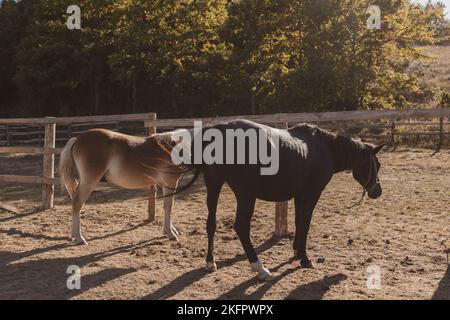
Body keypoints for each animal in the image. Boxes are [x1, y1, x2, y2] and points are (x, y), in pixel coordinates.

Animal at [172, 120, 384, 280]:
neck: (325, 148)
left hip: (214, 185)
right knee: (241, 227)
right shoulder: (313, 193)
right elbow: (305, 223)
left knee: (211, 223)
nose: (377, 191)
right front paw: (305, 258)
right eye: (377, 164)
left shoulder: (299, 194)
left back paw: (210, 262)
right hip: (245, 194)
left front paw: (297, 252)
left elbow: (299, 222)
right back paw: (260, 268)